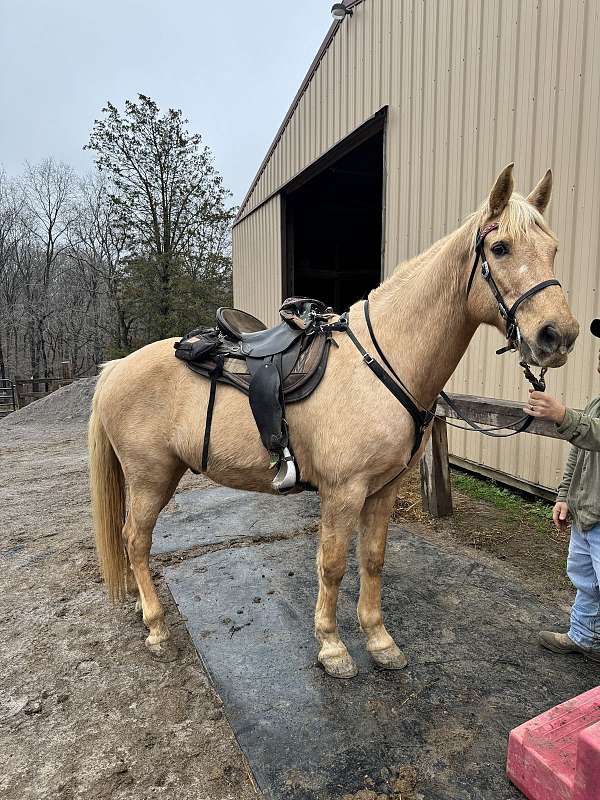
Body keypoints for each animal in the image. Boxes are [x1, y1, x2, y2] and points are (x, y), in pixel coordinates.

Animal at [90, 166, 580, 680]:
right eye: (500, 248)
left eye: (553, 249)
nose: (557, 336)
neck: (386, 361)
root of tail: (115, 368)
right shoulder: (343, 491)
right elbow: (332, 564)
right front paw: (332, 647)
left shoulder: (382, 490)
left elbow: (373, 560)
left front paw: (380, 641)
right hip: (151, 478)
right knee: (135, 541)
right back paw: (157, 627)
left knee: (131, 542)